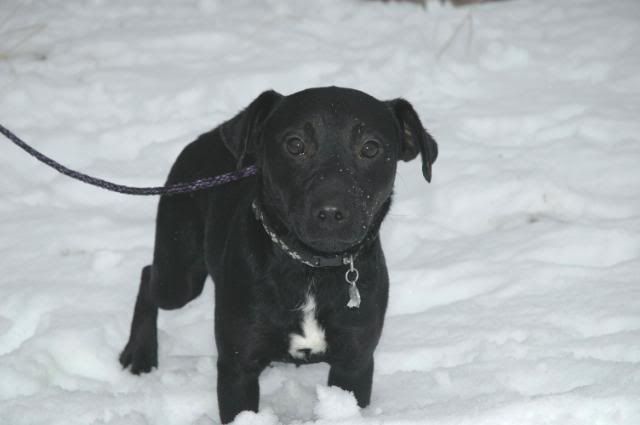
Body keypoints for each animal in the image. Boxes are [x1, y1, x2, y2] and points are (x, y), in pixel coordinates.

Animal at [119, 86, 438, 423]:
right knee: (148, 276)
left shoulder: (354, 364)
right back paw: (138, 355)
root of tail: (207, 137)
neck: (310, 268)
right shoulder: (237, 368)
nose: (331, 212)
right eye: (295, 144)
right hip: (180, 274)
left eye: (371, 147)